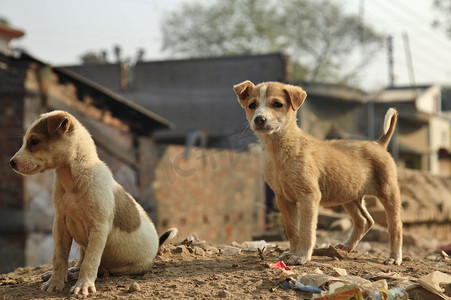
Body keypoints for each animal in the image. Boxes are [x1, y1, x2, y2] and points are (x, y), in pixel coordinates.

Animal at [235, 80, 404, 264]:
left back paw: (394, 257)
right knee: (365, 221)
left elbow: (306, 231)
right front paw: (291, 253)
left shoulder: (309, 196)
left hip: (388, 192)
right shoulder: (283, 198)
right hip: (350, 195)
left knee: (395, 226)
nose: (259, 119)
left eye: (277, 104)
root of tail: (379, 143)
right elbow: (292, 230)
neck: (279, 149)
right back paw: (347, 247)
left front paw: (301, 256)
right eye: (252, 105)